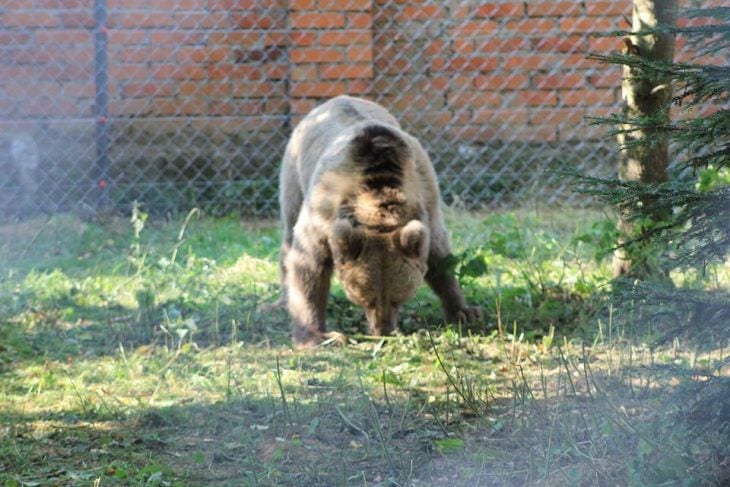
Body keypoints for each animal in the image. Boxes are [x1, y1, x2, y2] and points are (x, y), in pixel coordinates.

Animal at [272, 95, 478, 346]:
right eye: (365, 298)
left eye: (399, 297)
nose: (383, 330)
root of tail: (335, 99)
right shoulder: (324, 208)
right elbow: (309, 263)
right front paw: (315, 336)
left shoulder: (426, 197)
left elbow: (440, 257)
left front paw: (463, 311)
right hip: (294, 169)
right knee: (289, 230)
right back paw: (282, 301)